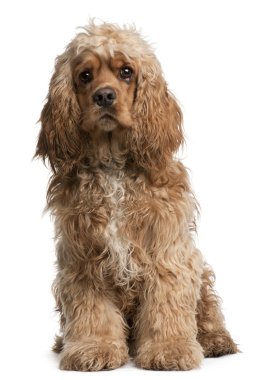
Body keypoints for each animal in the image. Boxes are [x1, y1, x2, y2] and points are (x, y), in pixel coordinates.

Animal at [34, 21, 237, 372]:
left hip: (201, 272)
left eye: (126, 72)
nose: (104, 96)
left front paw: (170, 350)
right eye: (85, 75)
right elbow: (93, 312)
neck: (113, 164)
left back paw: (215, 341)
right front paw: (93, 348)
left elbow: (166, 306)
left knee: (208, 310)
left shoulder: (168, 253)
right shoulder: (84, 258)